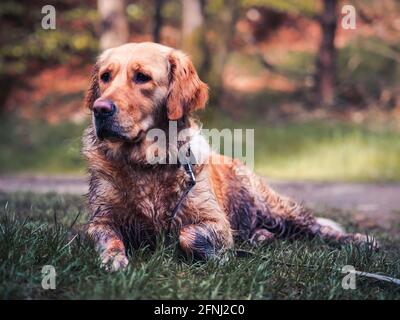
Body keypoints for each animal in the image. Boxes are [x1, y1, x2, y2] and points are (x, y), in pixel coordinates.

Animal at [83, 42, 376, 272]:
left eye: (142, 77)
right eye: (105, 77)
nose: (100, 109)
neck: (145, 163)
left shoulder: (216, 221)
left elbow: (187, 233)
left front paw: (220, 257)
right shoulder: (100, 218)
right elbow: (106, 237)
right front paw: (112, 259)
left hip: (273, 206)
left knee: (317, 228)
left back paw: (360, 239)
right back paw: (260, 236)